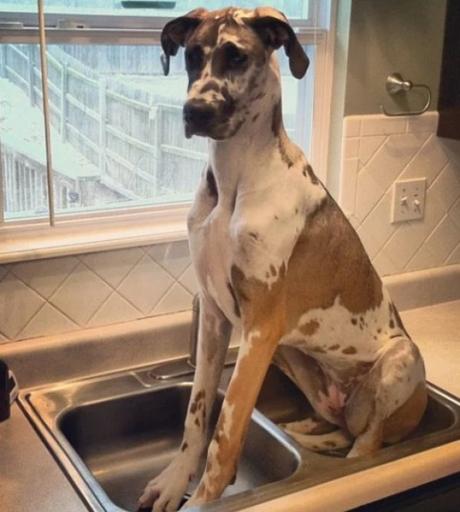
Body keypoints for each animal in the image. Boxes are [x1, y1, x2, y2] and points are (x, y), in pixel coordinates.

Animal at [137, 6, 428, 510]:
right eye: (192, 55)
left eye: (237, 56)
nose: (195, 111)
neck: (232, 181)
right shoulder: (215, 316)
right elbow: (197, 415)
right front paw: (175, 481)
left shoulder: (260, 325)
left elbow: (226, 431)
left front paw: (203, 498)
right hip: (289, 354)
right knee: (337, 426)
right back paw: (308, 433)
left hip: (399, 359)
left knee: (366, 442)